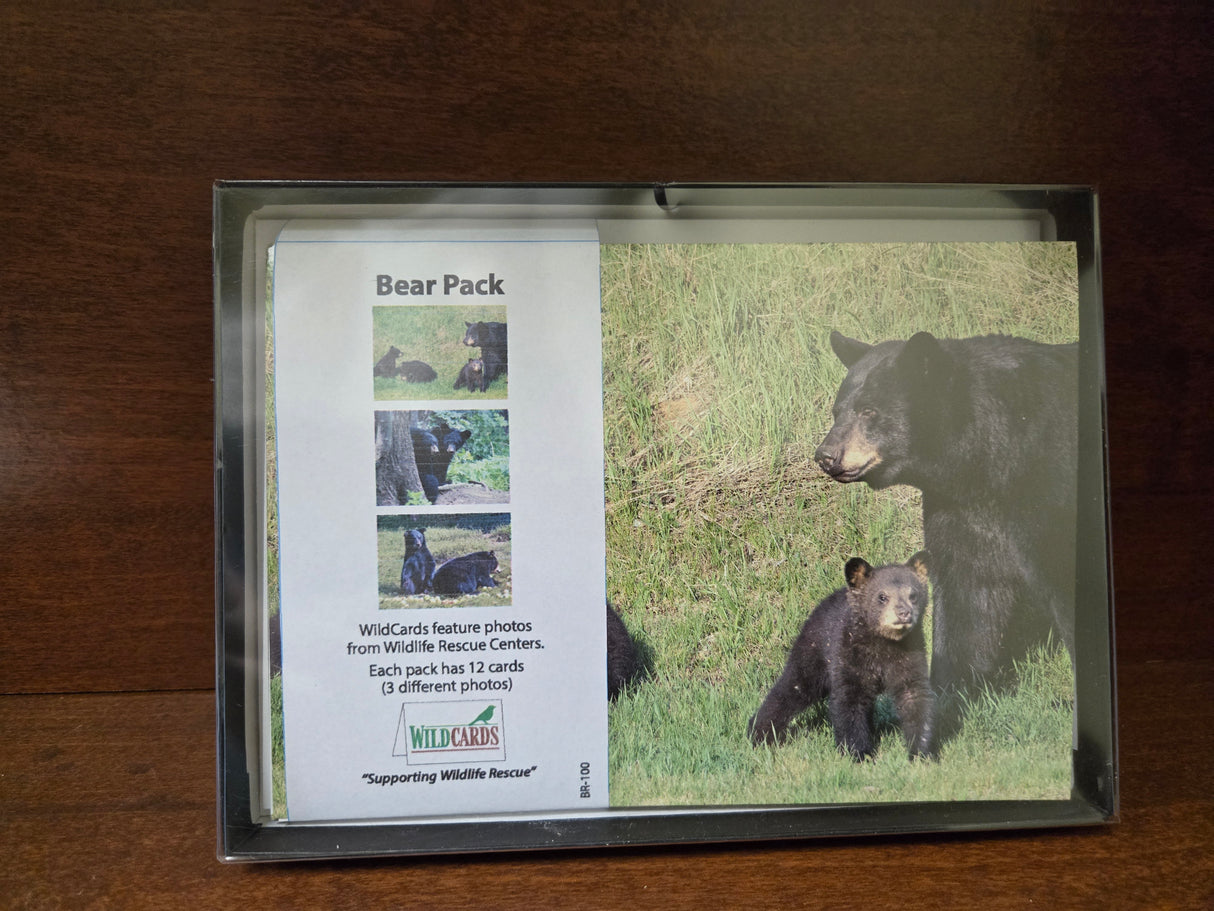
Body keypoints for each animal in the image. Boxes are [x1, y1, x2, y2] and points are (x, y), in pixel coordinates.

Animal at [748, 552, 934, 761]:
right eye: (882, 596)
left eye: (913, 595)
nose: (904, 613)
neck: (884, 645)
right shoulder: (849, 655)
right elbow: (849, 701)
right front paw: (858, 752)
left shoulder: (910, 655)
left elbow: (915, 696)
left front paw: (921, 752)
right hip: (812, 653)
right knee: (792, 688)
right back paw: (759, 732)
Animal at [814, 331, 1078, 706]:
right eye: (837, 411)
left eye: (869, 410)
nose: (826, 456)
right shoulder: (959, 507)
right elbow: (965, 595)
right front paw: (947, 696)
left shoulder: (1049, 488)